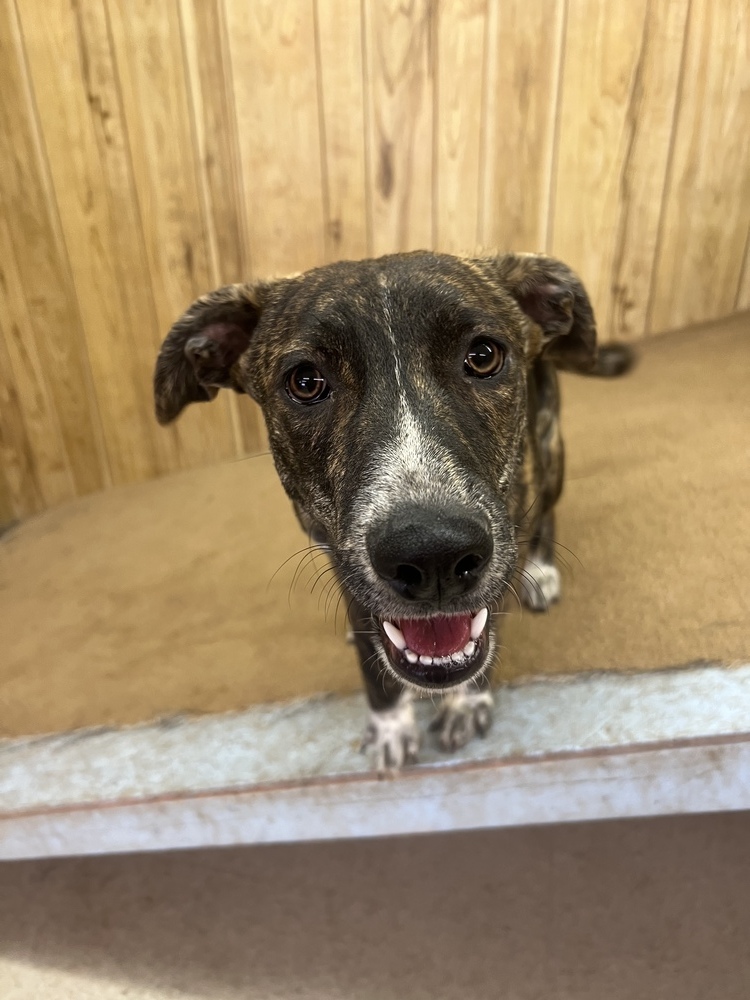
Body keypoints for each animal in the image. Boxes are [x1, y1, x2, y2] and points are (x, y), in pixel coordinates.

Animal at [154, 252, 636, 772]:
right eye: (305, 382)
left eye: (483, 356)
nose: (433, 556)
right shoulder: (337, 556)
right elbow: (373, 660)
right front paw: (390, 725)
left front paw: (466, 701)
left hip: (547, 447)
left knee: (546, 508)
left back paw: (542, 571)